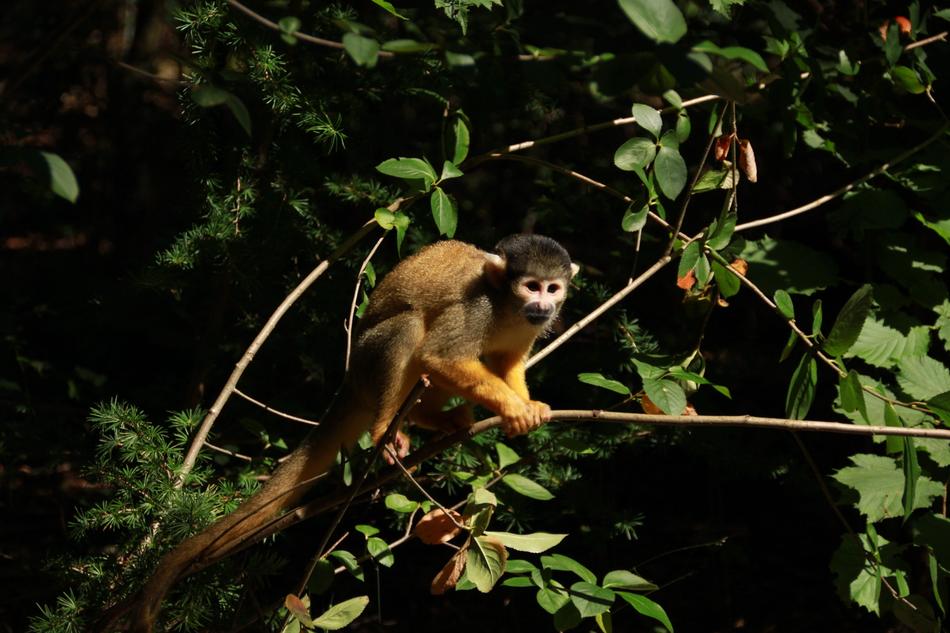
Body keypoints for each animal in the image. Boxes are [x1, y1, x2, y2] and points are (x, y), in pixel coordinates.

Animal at [116, 234, 578, 632]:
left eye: (553, 288)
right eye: (531, 286)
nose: (543, 304)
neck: (508, 306)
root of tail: (351, 381)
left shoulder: (527, 326)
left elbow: (508, 362)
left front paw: (528, 407)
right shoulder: (477, 307)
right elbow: (441, 355)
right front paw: (514, 408)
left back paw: (437, 420)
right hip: (368, 362)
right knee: (412, 329)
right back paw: (386, 428)